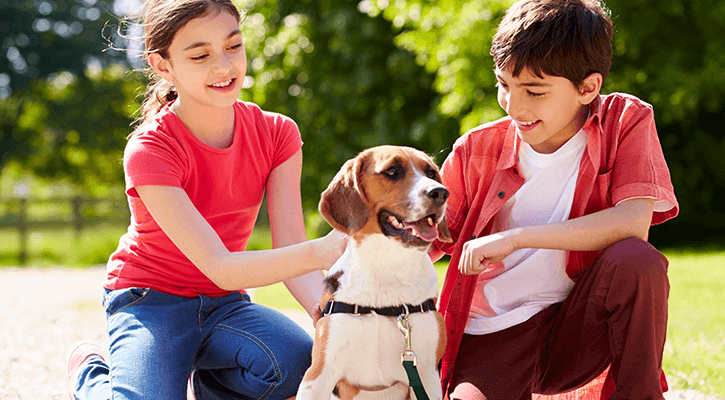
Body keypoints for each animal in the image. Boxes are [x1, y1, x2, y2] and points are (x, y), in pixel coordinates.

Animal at [296, 146, 450, 400]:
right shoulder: (318, 375)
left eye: (431, 173)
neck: (387, 264)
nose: (441, 192)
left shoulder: (427, 376)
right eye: (392, 171)